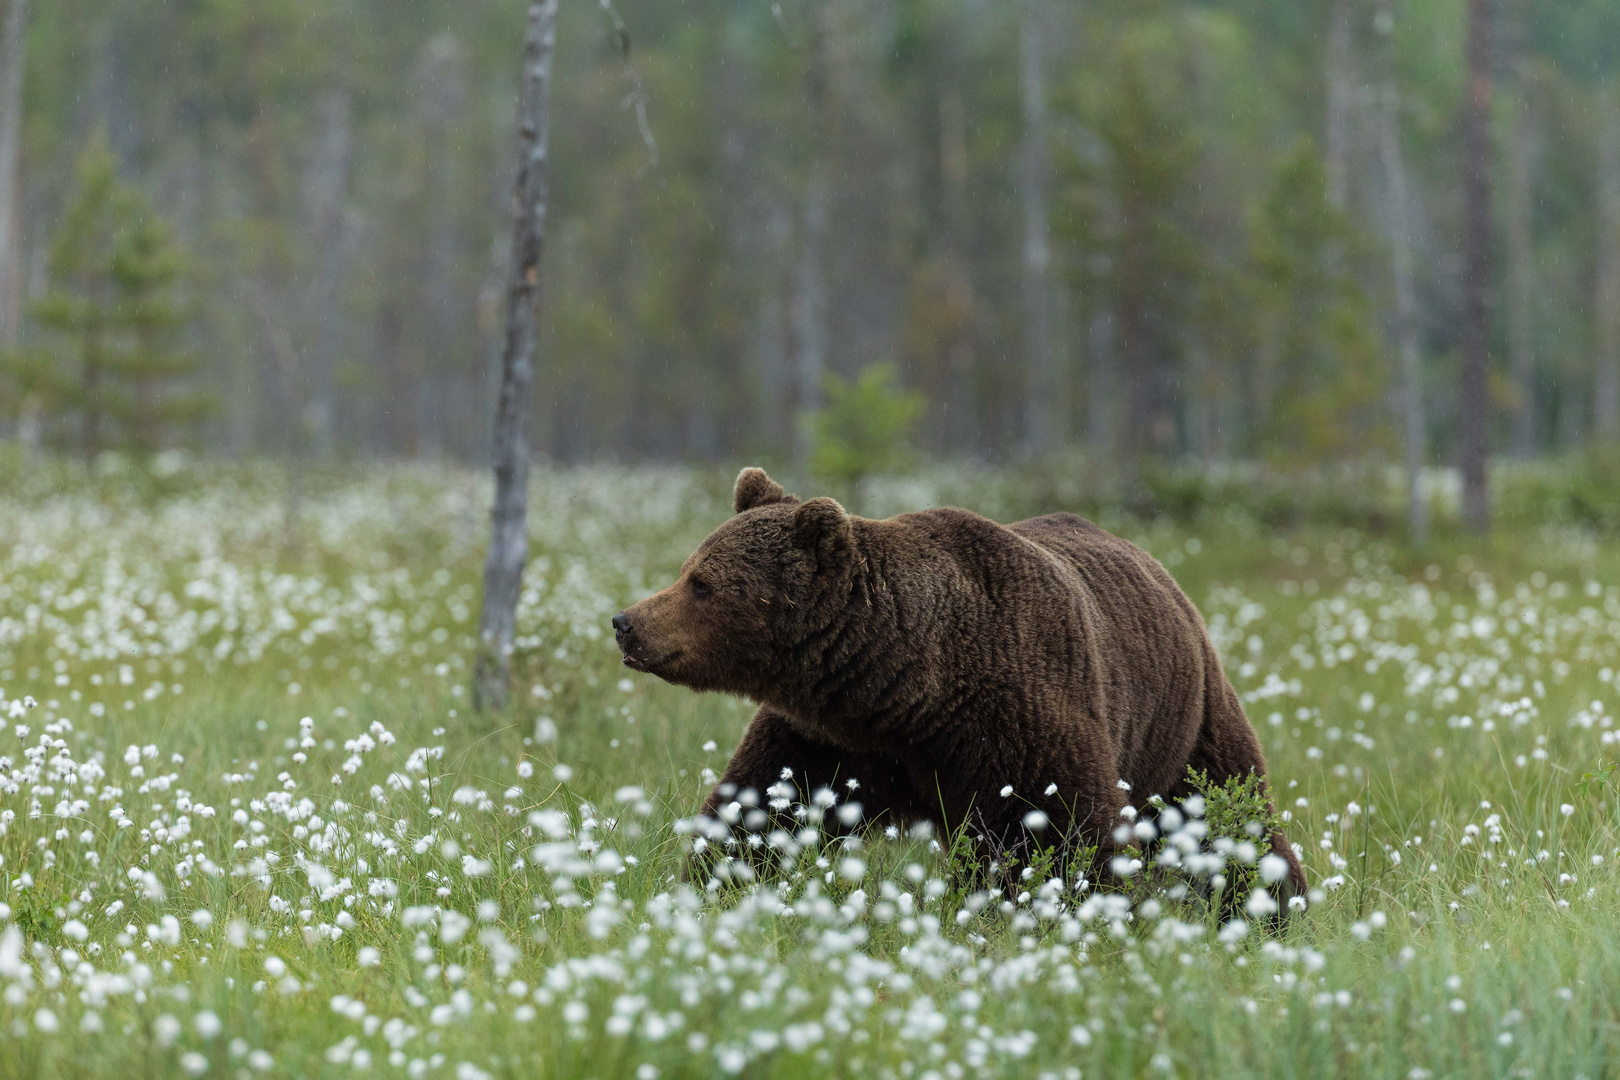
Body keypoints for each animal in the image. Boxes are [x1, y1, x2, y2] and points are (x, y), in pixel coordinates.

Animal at [609, 466, 1302, 893]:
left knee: (1227, 807)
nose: (626, 623)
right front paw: (715, 884)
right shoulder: (828, 739)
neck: (909, 691)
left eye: (703, 584)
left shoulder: (1019, 714)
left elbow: (1055, 833)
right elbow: (762, 808)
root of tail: (1160, 570)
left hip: (1183, 719)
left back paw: (1269, 904)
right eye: (688, 568)